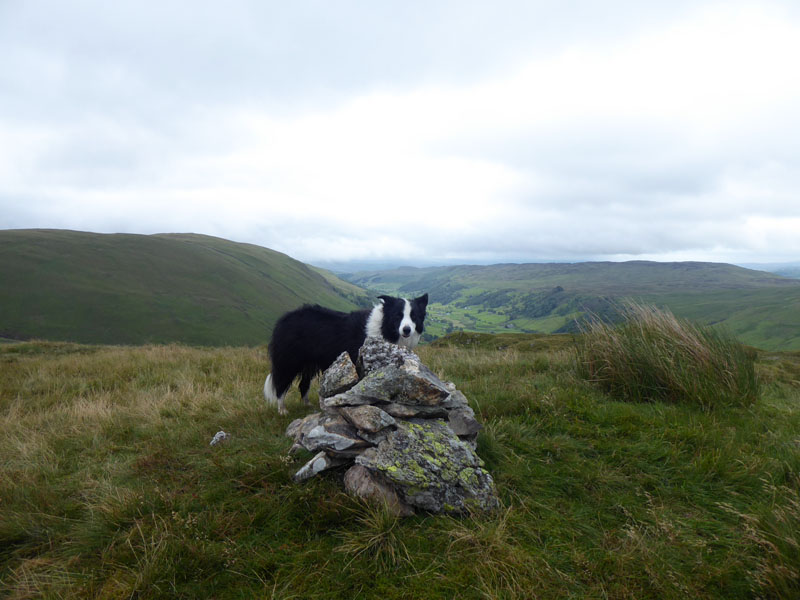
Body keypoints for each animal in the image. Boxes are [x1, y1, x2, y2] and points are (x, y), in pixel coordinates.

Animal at [264, 292, 428, 414]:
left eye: (414, 316)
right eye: (397, 316)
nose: (406, 330)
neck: (384, 328)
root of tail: (284, 319)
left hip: (309, 363)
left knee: (303, 385)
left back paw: (308, 406)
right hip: (289, 361)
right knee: (281, 384)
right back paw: (282, 410)